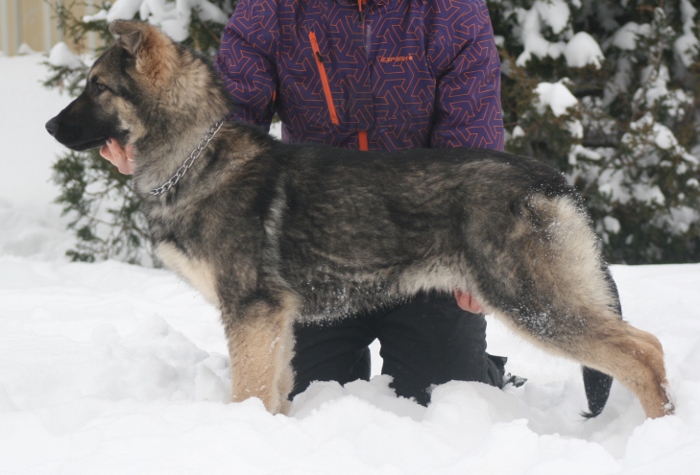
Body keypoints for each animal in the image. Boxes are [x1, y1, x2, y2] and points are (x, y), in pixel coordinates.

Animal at [45, 20, 672, 418]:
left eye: (97, 87)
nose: (48, 127)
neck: (194, 155)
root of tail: (553, 179)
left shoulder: (251, 313)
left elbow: (246, 391)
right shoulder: (275, 324)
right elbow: (272, 390)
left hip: (533, 303)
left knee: (642, 352)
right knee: (647, 348)